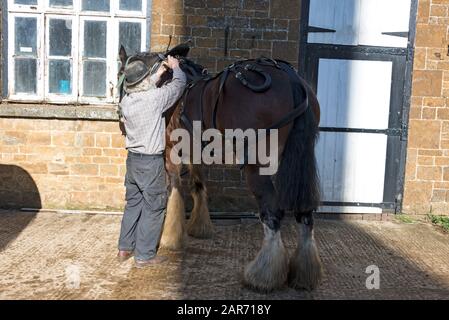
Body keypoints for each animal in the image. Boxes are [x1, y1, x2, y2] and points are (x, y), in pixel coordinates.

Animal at [119, 43, 322, 292]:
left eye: (121, 75)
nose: (122, 121)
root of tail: (291, 78)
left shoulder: (169, 153)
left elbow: (174, 191)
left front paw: (171, 237)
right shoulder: (194, 153)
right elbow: (198, 187)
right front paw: (199, 227)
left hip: (256, 166)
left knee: (272, 212)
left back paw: (263, 275)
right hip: (298, 160)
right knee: (305, 212)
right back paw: (305, 272)